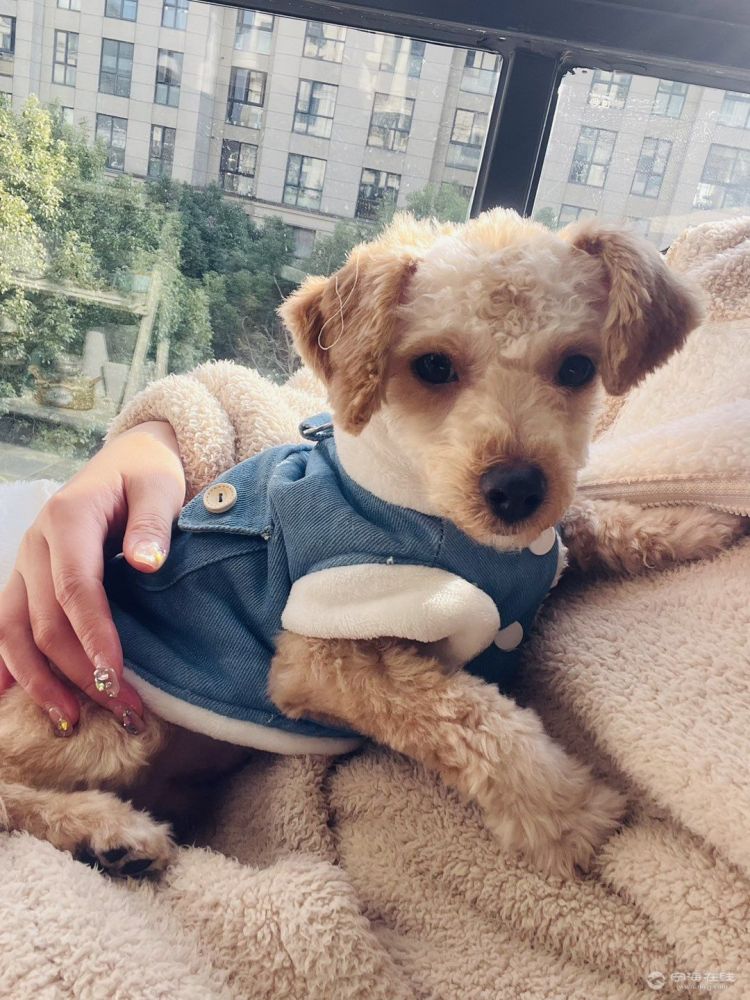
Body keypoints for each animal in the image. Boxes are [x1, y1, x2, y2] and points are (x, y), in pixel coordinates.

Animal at [0, 210, 702, 879]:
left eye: (578, 366)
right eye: (434, 366)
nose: (517, 490)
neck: (434, 511)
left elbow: (582, 521)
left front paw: (684, 526)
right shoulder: (321, 653)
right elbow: (475, 717)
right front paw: (567, 812)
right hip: (110, 718)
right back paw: (106, 832)